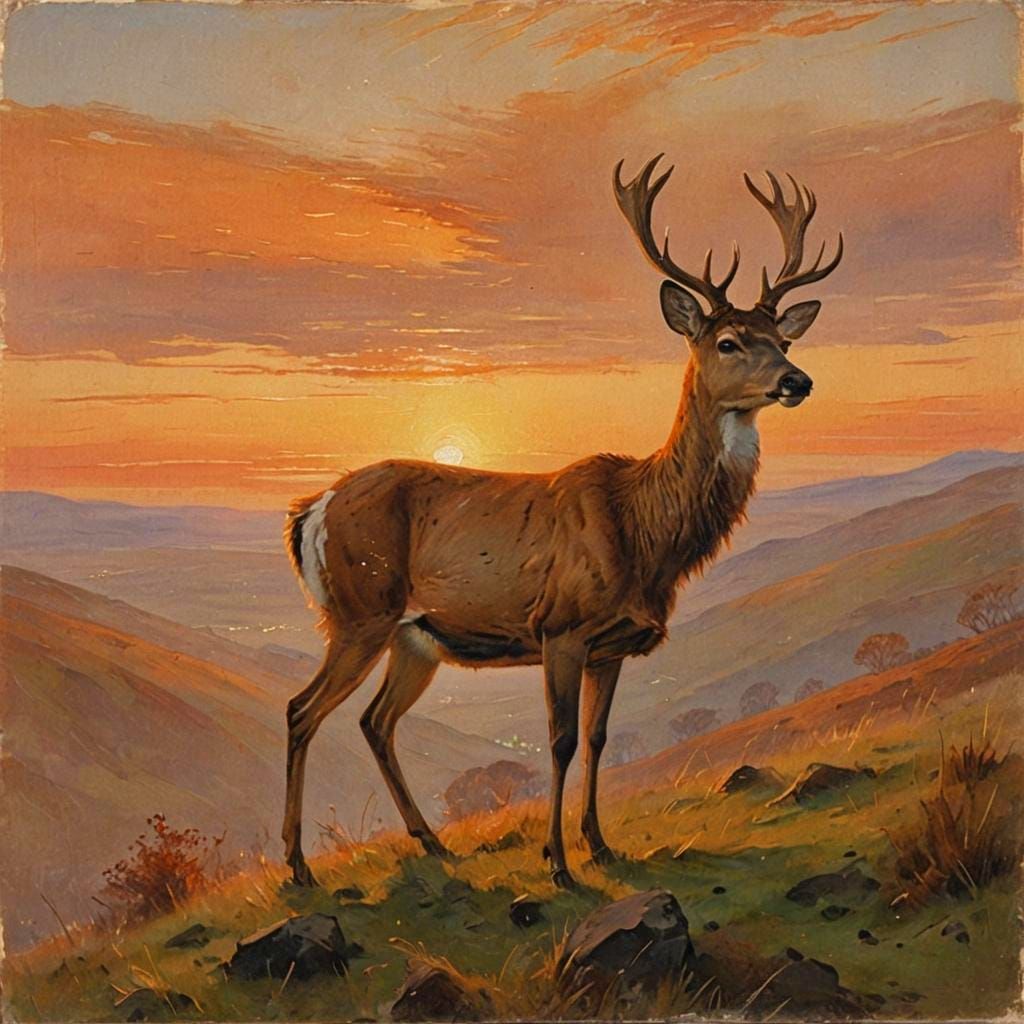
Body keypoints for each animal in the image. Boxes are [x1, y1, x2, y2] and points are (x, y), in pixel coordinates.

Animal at [281, 157, 843, 889]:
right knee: (301, 710)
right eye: (727, 341)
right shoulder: (561, 626)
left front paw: (600, 846)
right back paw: (298, 865)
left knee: (375, 722)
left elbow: (599, 739)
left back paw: (432, 843)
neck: (646, 533)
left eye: (783, 339)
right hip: (359, 610)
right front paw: (558, 864)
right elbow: (560, 739)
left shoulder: (613, 644)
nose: (797, 380)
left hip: (415, 637)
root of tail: (309, 512)